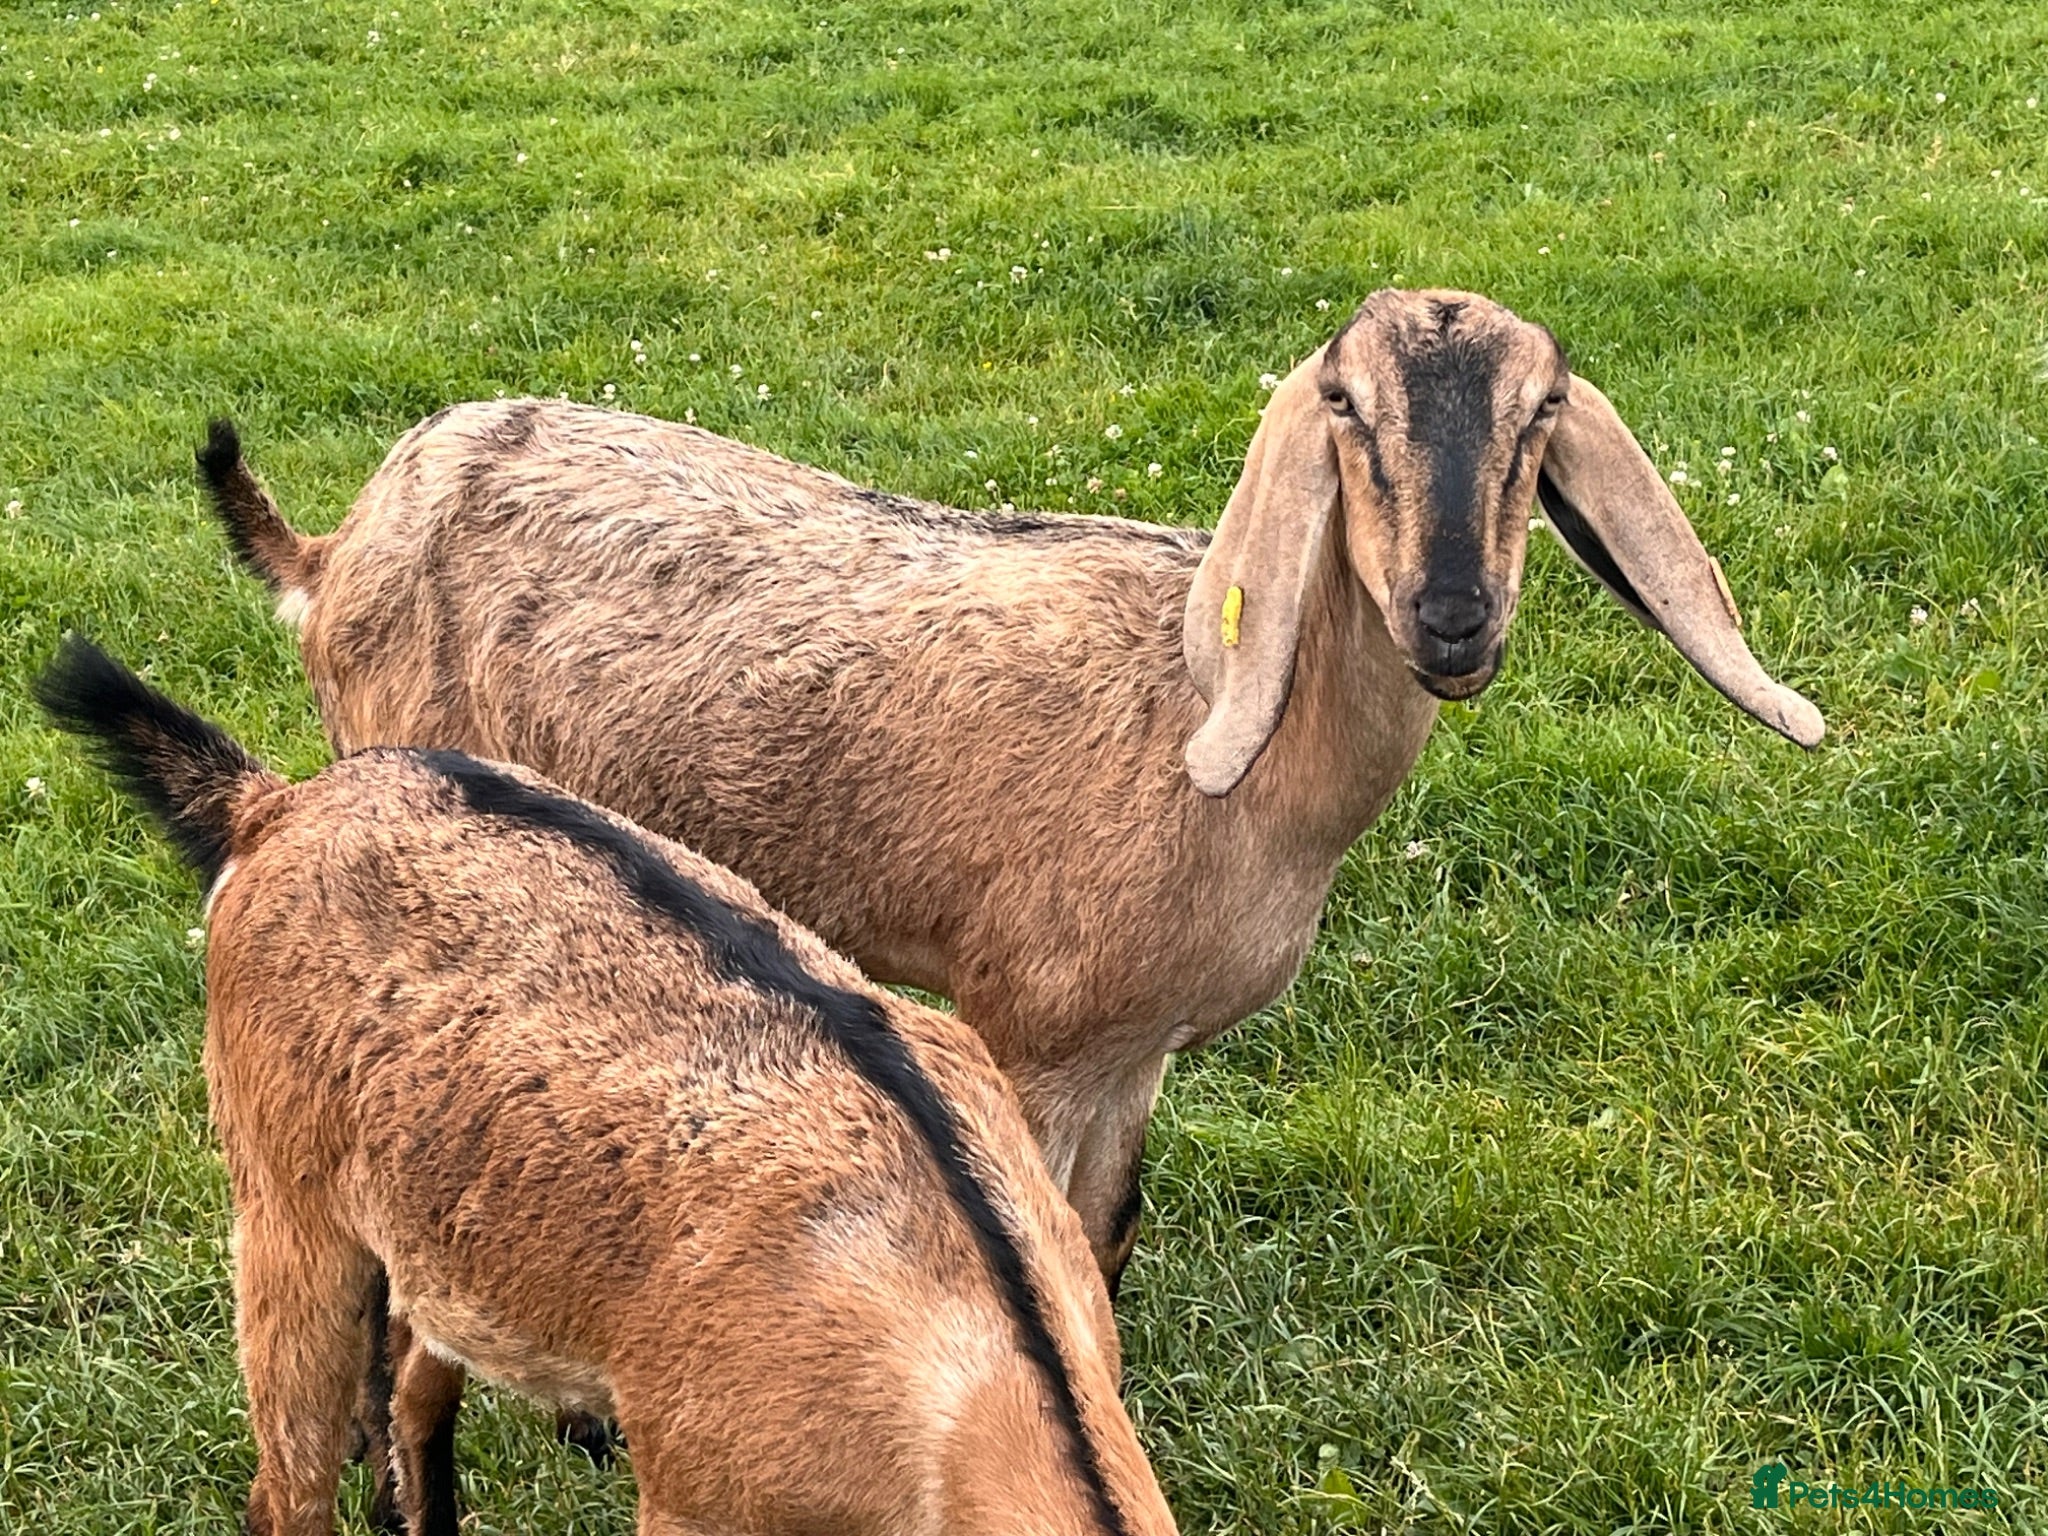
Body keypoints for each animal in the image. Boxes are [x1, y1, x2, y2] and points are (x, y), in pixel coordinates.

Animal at [205, 288, 1824, 1288]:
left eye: (1538, 413)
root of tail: (332, 547)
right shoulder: (1030, 1034)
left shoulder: (1132, 1052)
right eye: (1348, 410)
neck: (1201, 732)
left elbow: (1106, 1238)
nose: (1450, 618)